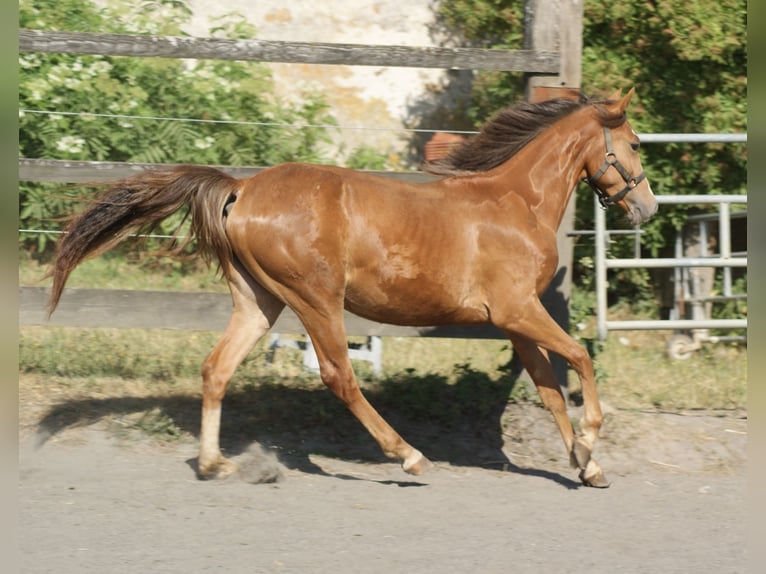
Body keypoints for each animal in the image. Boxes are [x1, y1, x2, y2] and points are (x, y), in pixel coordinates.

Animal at [47, 88, 657, 488]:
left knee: (216, 368)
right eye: (633, 143)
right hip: (315, 298)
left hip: (259, 301)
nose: (647, 208)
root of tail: (242, 189)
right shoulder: (517, 311)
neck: (516, 202)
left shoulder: (516, 322)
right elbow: (580, 358)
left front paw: (588, 466)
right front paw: (590, 443)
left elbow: (550, 389)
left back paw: (216, 463)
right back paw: (408, 456)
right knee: (339, 375)